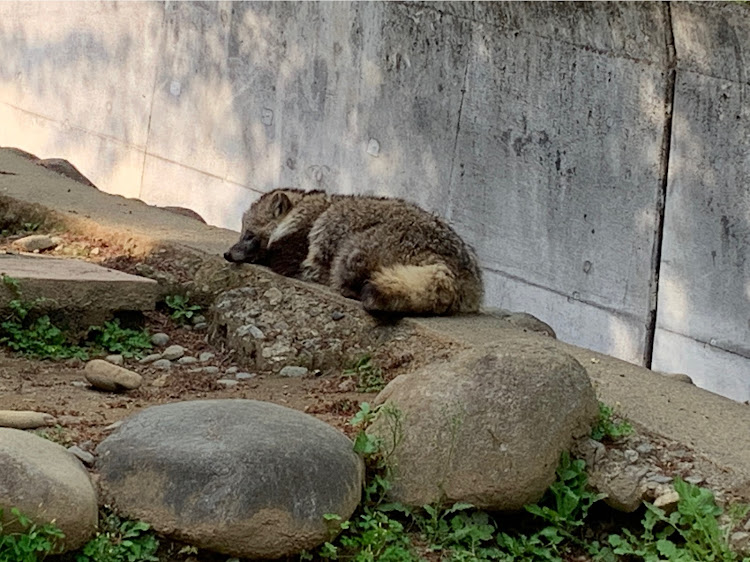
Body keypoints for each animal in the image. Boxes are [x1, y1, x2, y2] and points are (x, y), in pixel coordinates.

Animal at [223, 188, 484, 316]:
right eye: (242, 233)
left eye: (249, 235)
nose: (227, 254)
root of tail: (448, 261)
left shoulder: (302, 244)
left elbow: (284, 259)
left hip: (359, 248)